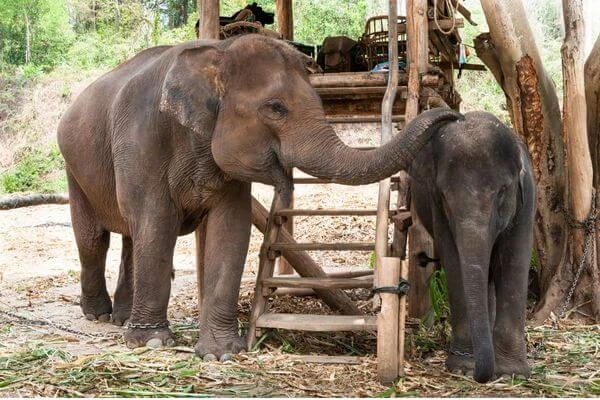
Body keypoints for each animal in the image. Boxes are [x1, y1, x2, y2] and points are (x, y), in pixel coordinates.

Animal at [57, 34, 460, 360]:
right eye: (276, 108)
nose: (451, 115)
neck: (216, 52)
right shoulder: (144, 140)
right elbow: (157, 225)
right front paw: (154, 343)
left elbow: (230, 230)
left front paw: (222, 353)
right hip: (73, 167)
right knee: (95, 239)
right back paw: (98, 315)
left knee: (129, 236)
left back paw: (121, 317)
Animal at [408, 110, 536, 382]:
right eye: (445, 196)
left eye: (501, 192)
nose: (481, 375)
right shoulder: (438, 210)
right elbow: (455, 262)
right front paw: (463, 367)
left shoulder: (527, 199)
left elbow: (514, 260)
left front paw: (511, 373)